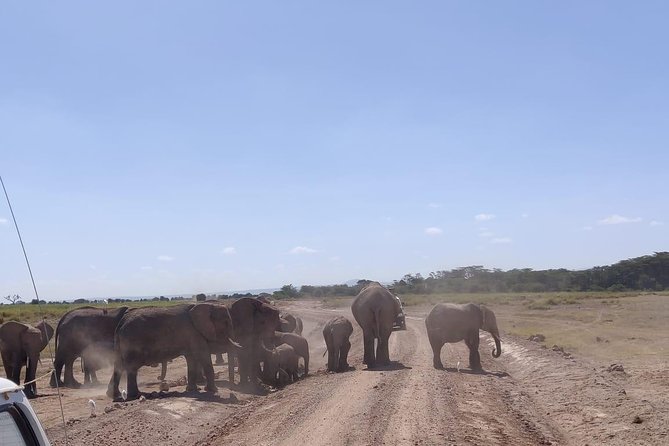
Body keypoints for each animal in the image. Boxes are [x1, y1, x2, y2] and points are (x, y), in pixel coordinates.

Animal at [105, 304, 239, 400]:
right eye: (226, 322)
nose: (232, 390)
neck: (207, 306)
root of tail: (121, 323)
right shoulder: (194, 333)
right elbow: (203, 356)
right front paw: (213, 391)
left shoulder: (192, 336)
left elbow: (191, 358)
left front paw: (193, 390)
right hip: (132, 342)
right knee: (131, 368)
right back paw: (136, 395)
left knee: (118, 366)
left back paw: (113, 395)